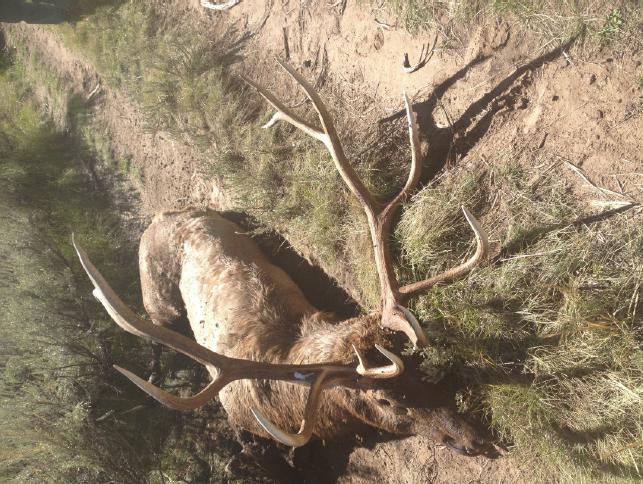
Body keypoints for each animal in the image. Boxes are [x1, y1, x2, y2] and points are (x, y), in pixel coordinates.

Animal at [73, 59, 491, 457]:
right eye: (386, 401)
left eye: (419, 370)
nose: (474, 439)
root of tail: (163, 214)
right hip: (156, 295)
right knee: (156, 330)